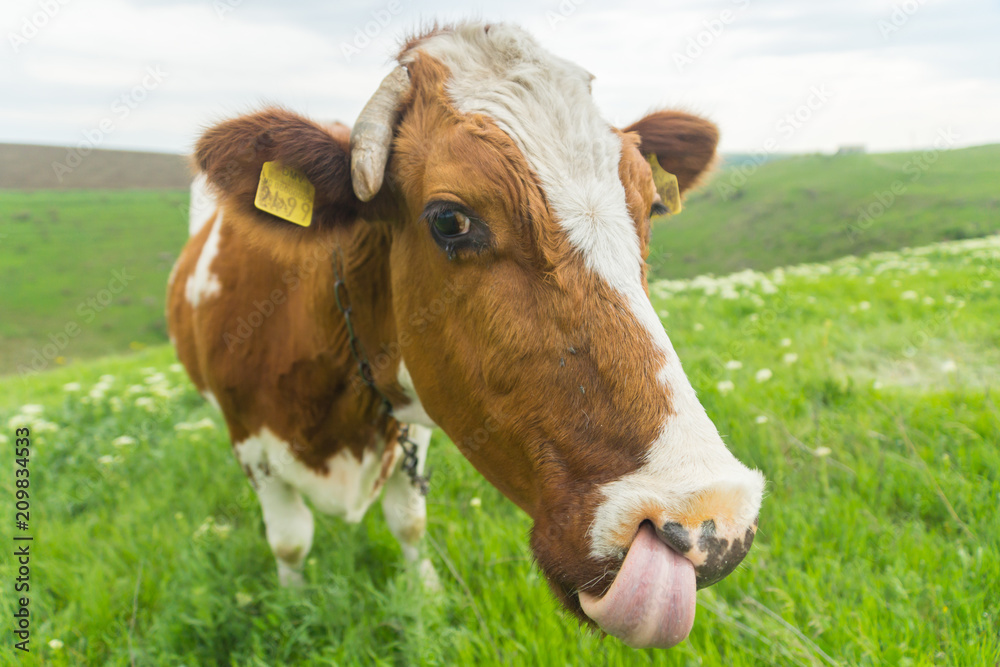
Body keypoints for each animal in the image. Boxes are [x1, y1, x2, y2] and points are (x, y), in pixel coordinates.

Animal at [170, 22, 764, 652]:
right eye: (450, 220)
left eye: (650, 205)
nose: (713, 522)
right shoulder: (250, 444)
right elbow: (289, 540)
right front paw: (294, 607)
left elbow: (409, 521)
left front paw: (425, 594)